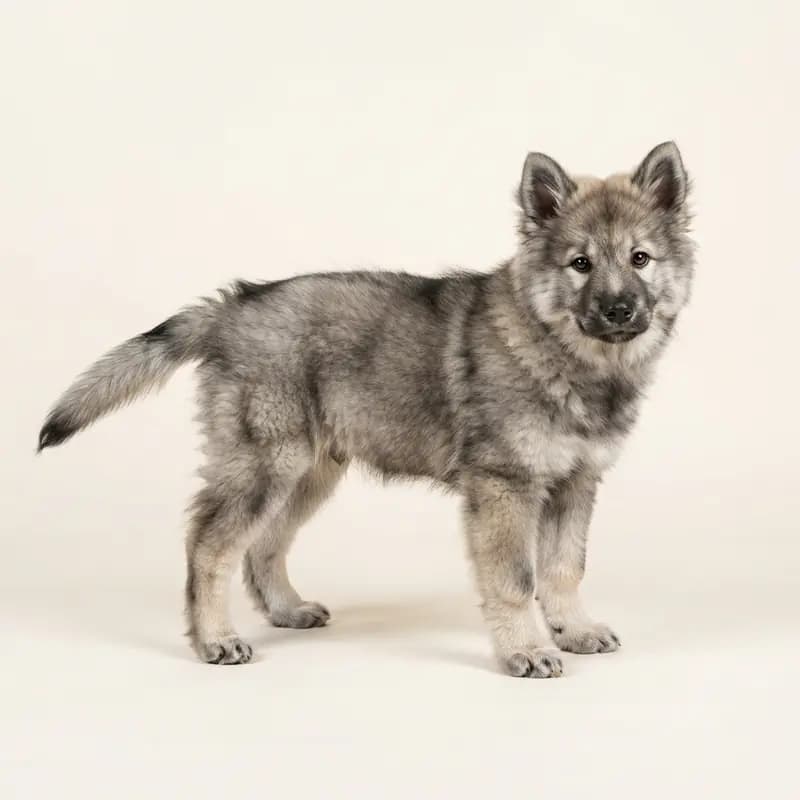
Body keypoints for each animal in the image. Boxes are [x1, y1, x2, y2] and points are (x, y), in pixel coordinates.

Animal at [38, 142, 694, 677]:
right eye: (580, 264)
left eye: (639, 259)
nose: (618, 310)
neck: (561, 350)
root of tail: (233, 306)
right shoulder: (506, 486)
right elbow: (516, 579)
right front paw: (526, 650)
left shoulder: (575, 484)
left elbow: (564, 568)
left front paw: (574, 630)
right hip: (266, 464)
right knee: (210, 545)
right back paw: (213, 639)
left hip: (309, 472)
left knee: (263, 544)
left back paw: (286, 609)